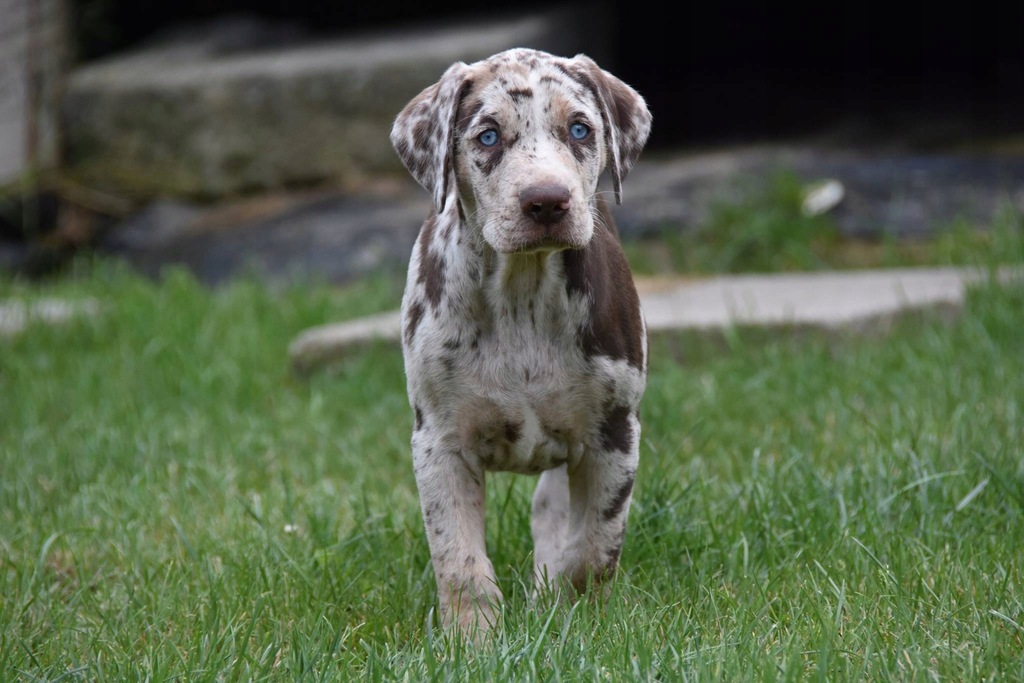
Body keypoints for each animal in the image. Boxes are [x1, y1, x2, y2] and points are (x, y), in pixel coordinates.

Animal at [387, 48, 651, 634]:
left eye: (580, 129)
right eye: (488, 136)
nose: (547, 202)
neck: (521, 294)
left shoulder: (614, 436)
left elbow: (592, 547)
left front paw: (577, 617)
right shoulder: (439, 444)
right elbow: (459, 558)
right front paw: (473, 639)